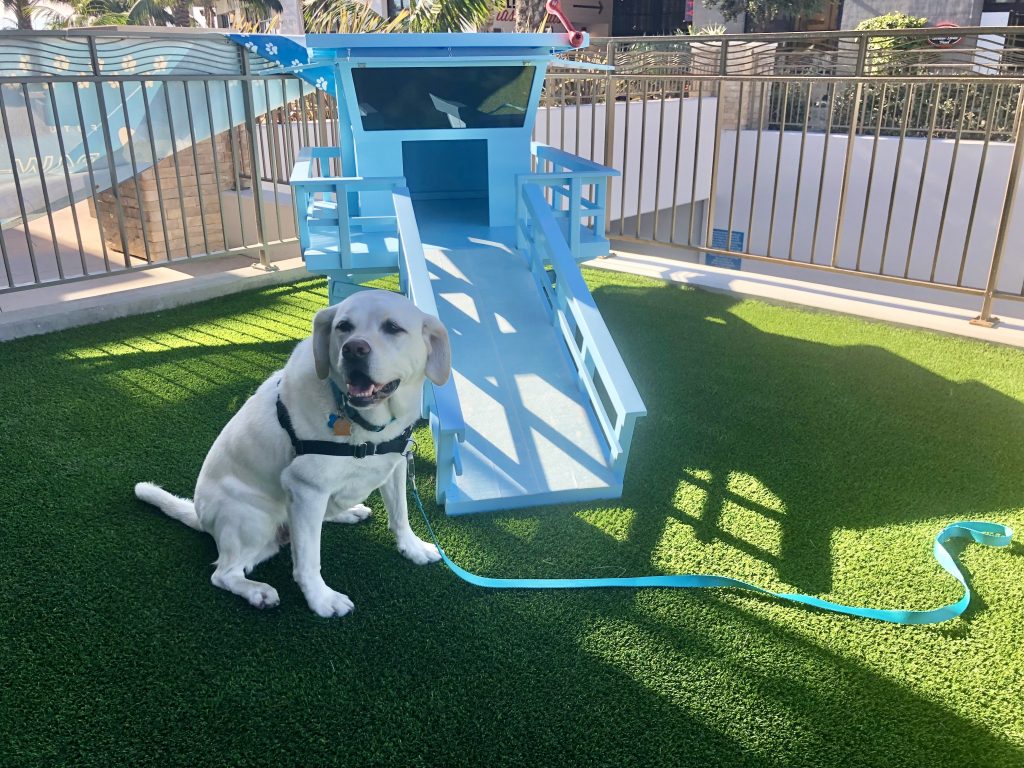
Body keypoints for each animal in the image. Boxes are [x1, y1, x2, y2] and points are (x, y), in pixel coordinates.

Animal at [135, 290, 448, 618]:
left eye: (393, 327)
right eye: (343, 326)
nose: (353, 349)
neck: (366, 424)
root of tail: (201, 516)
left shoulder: (396, 464)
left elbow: (400, 514)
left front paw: (412, 548)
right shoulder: (306, 488)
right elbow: (308, 561)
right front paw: (322, 600)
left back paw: (348, 512)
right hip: (253, 521)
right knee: (224, 572)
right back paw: (256, 591)